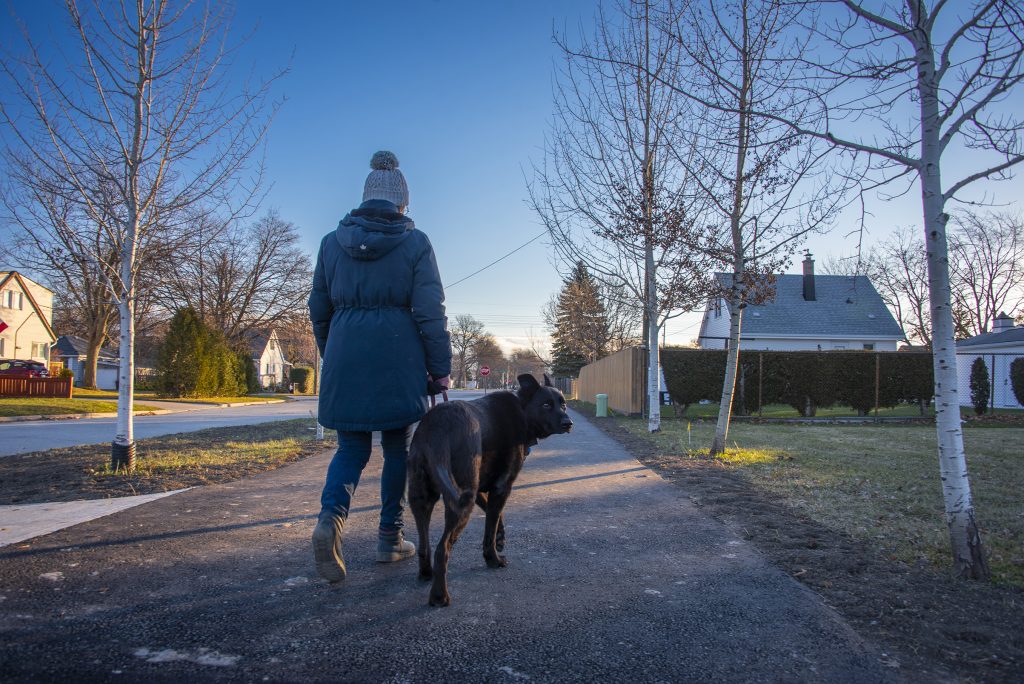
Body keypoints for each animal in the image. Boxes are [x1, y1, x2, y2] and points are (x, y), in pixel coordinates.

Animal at [405, 374, 569, 602]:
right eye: (546, 405)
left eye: (564, 404)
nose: (568, 423)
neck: (522, 411)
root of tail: (438, 426)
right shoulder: (502, 487)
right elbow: (490, 527)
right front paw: (493, 558)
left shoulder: (480, 489)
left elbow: (495, 517)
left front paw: (501, 538)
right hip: (460, 503)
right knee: (442, 549)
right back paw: (439, 596)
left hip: (423, 497)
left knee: (424, 545)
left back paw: (426, 573)